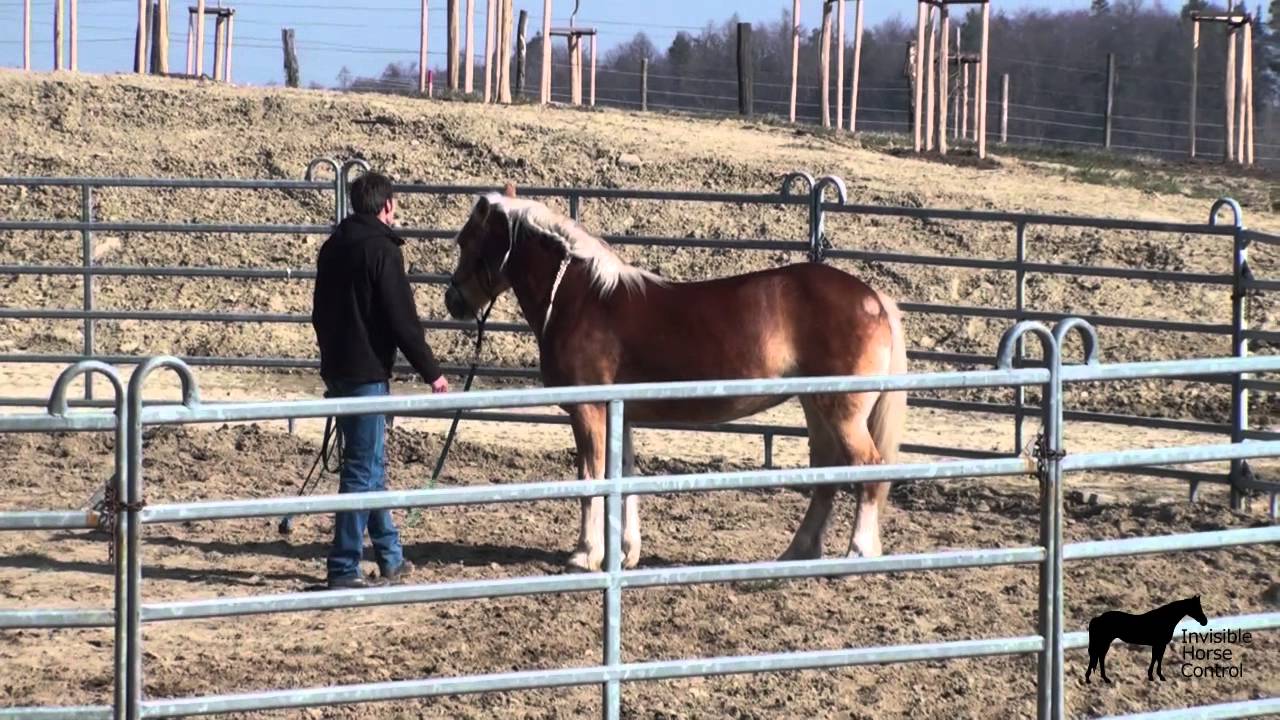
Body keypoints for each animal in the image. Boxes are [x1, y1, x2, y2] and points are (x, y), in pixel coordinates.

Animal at [443, 183, 909, 572]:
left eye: (466, 241)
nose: (453, 301)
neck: (583, 300)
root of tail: (873, 297)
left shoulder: (588, 410)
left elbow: (591, 478)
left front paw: (585, 554)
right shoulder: (620, 414)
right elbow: (622, 475)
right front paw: (624, 554)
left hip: (842, 410)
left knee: (867, 468)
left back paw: (857, 553)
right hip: (816, 405)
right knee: (827, 473)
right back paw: (798, 553)